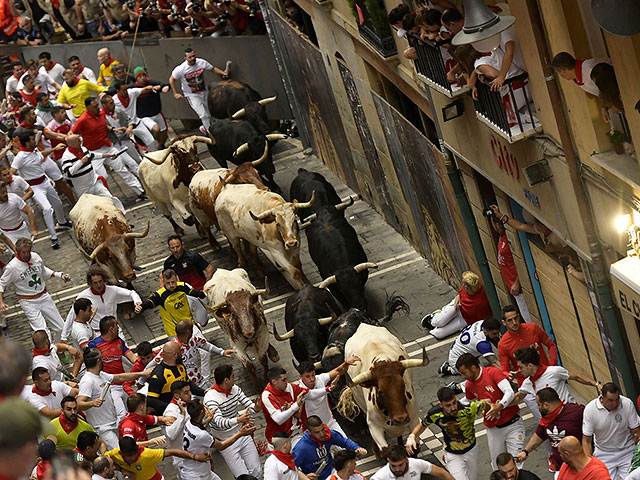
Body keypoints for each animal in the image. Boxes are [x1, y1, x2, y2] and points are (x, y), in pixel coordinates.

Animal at [336, 324, 430, 456]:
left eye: (403, 385)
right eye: (380, 391)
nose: (401, 419)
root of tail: (363, 325)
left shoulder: (413, 419)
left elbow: (414, 447)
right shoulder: (374, 426)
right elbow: (385, 450)